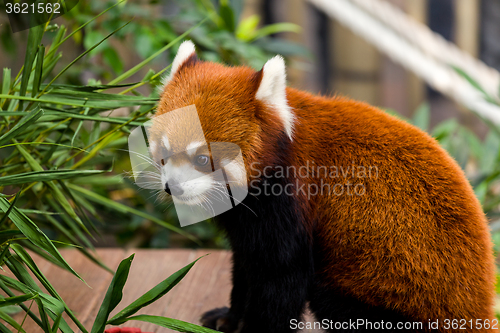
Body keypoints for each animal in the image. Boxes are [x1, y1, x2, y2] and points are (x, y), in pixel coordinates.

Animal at [151, 41, 496, 332]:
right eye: (164, 152)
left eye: (201, 158)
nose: (173, 188)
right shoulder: (245, 219)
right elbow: (246, 266)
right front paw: (229, 317)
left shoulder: (290, 200)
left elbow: (282, 276)